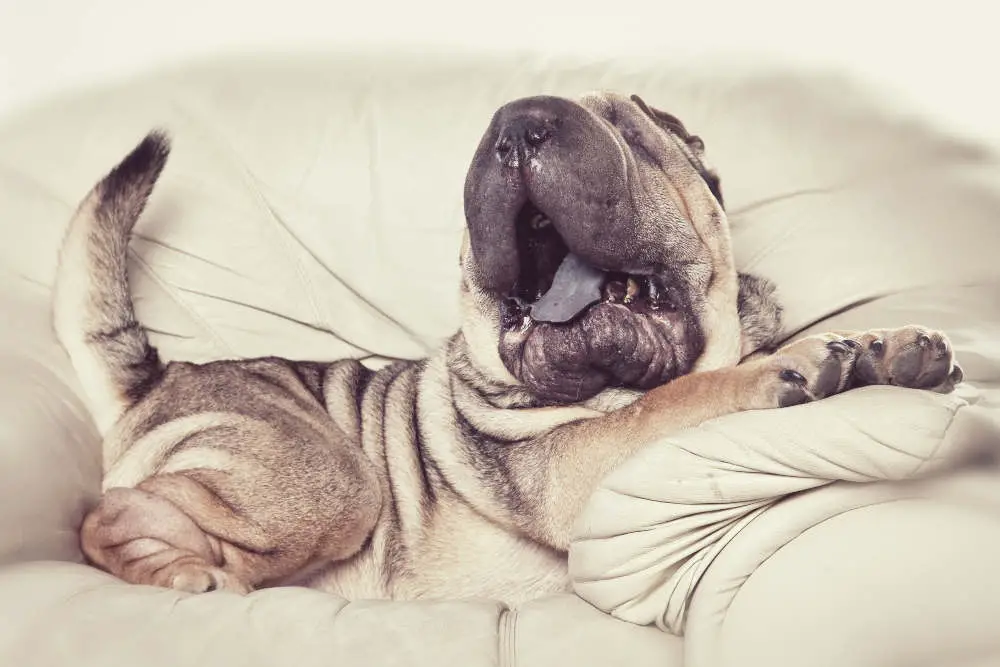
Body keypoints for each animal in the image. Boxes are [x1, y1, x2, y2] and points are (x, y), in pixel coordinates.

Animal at [52, 91, 960, 608]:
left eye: (632, 134)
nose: (519, 126)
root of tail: (159, 376)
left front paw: (882, 348)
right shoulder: (575, 459)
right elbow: (691, 392)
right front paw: (787, 368)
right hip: (334, 481)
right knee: (106, 515)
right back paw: (183, 572)